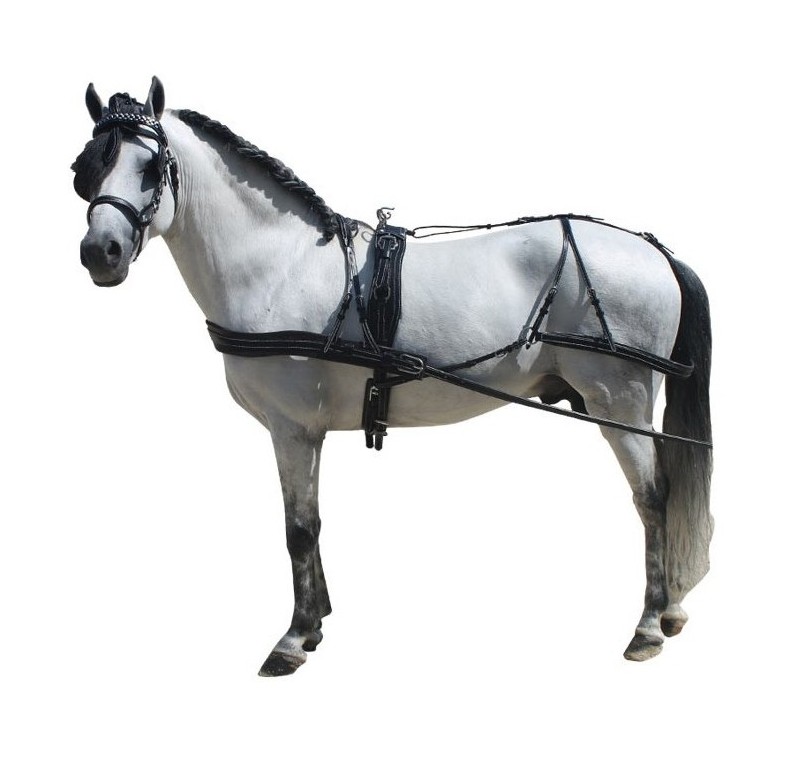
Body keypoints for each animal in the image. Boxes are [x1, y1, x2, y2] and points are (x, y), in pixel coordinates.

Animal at [73, 77, 713, 675]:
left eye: (152, 167)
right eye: (85, 168)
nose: (100, 252)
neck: (281, 266)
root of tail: (656, 252)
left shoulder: (291, 427)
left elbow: (298, 529)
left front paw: (293, 639)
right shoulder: (307, 432)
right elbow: (311, 524)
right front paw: (317, 622)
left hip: (620, 402)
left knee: (653, 496)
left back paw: (649, 624)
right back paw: (672, 610)